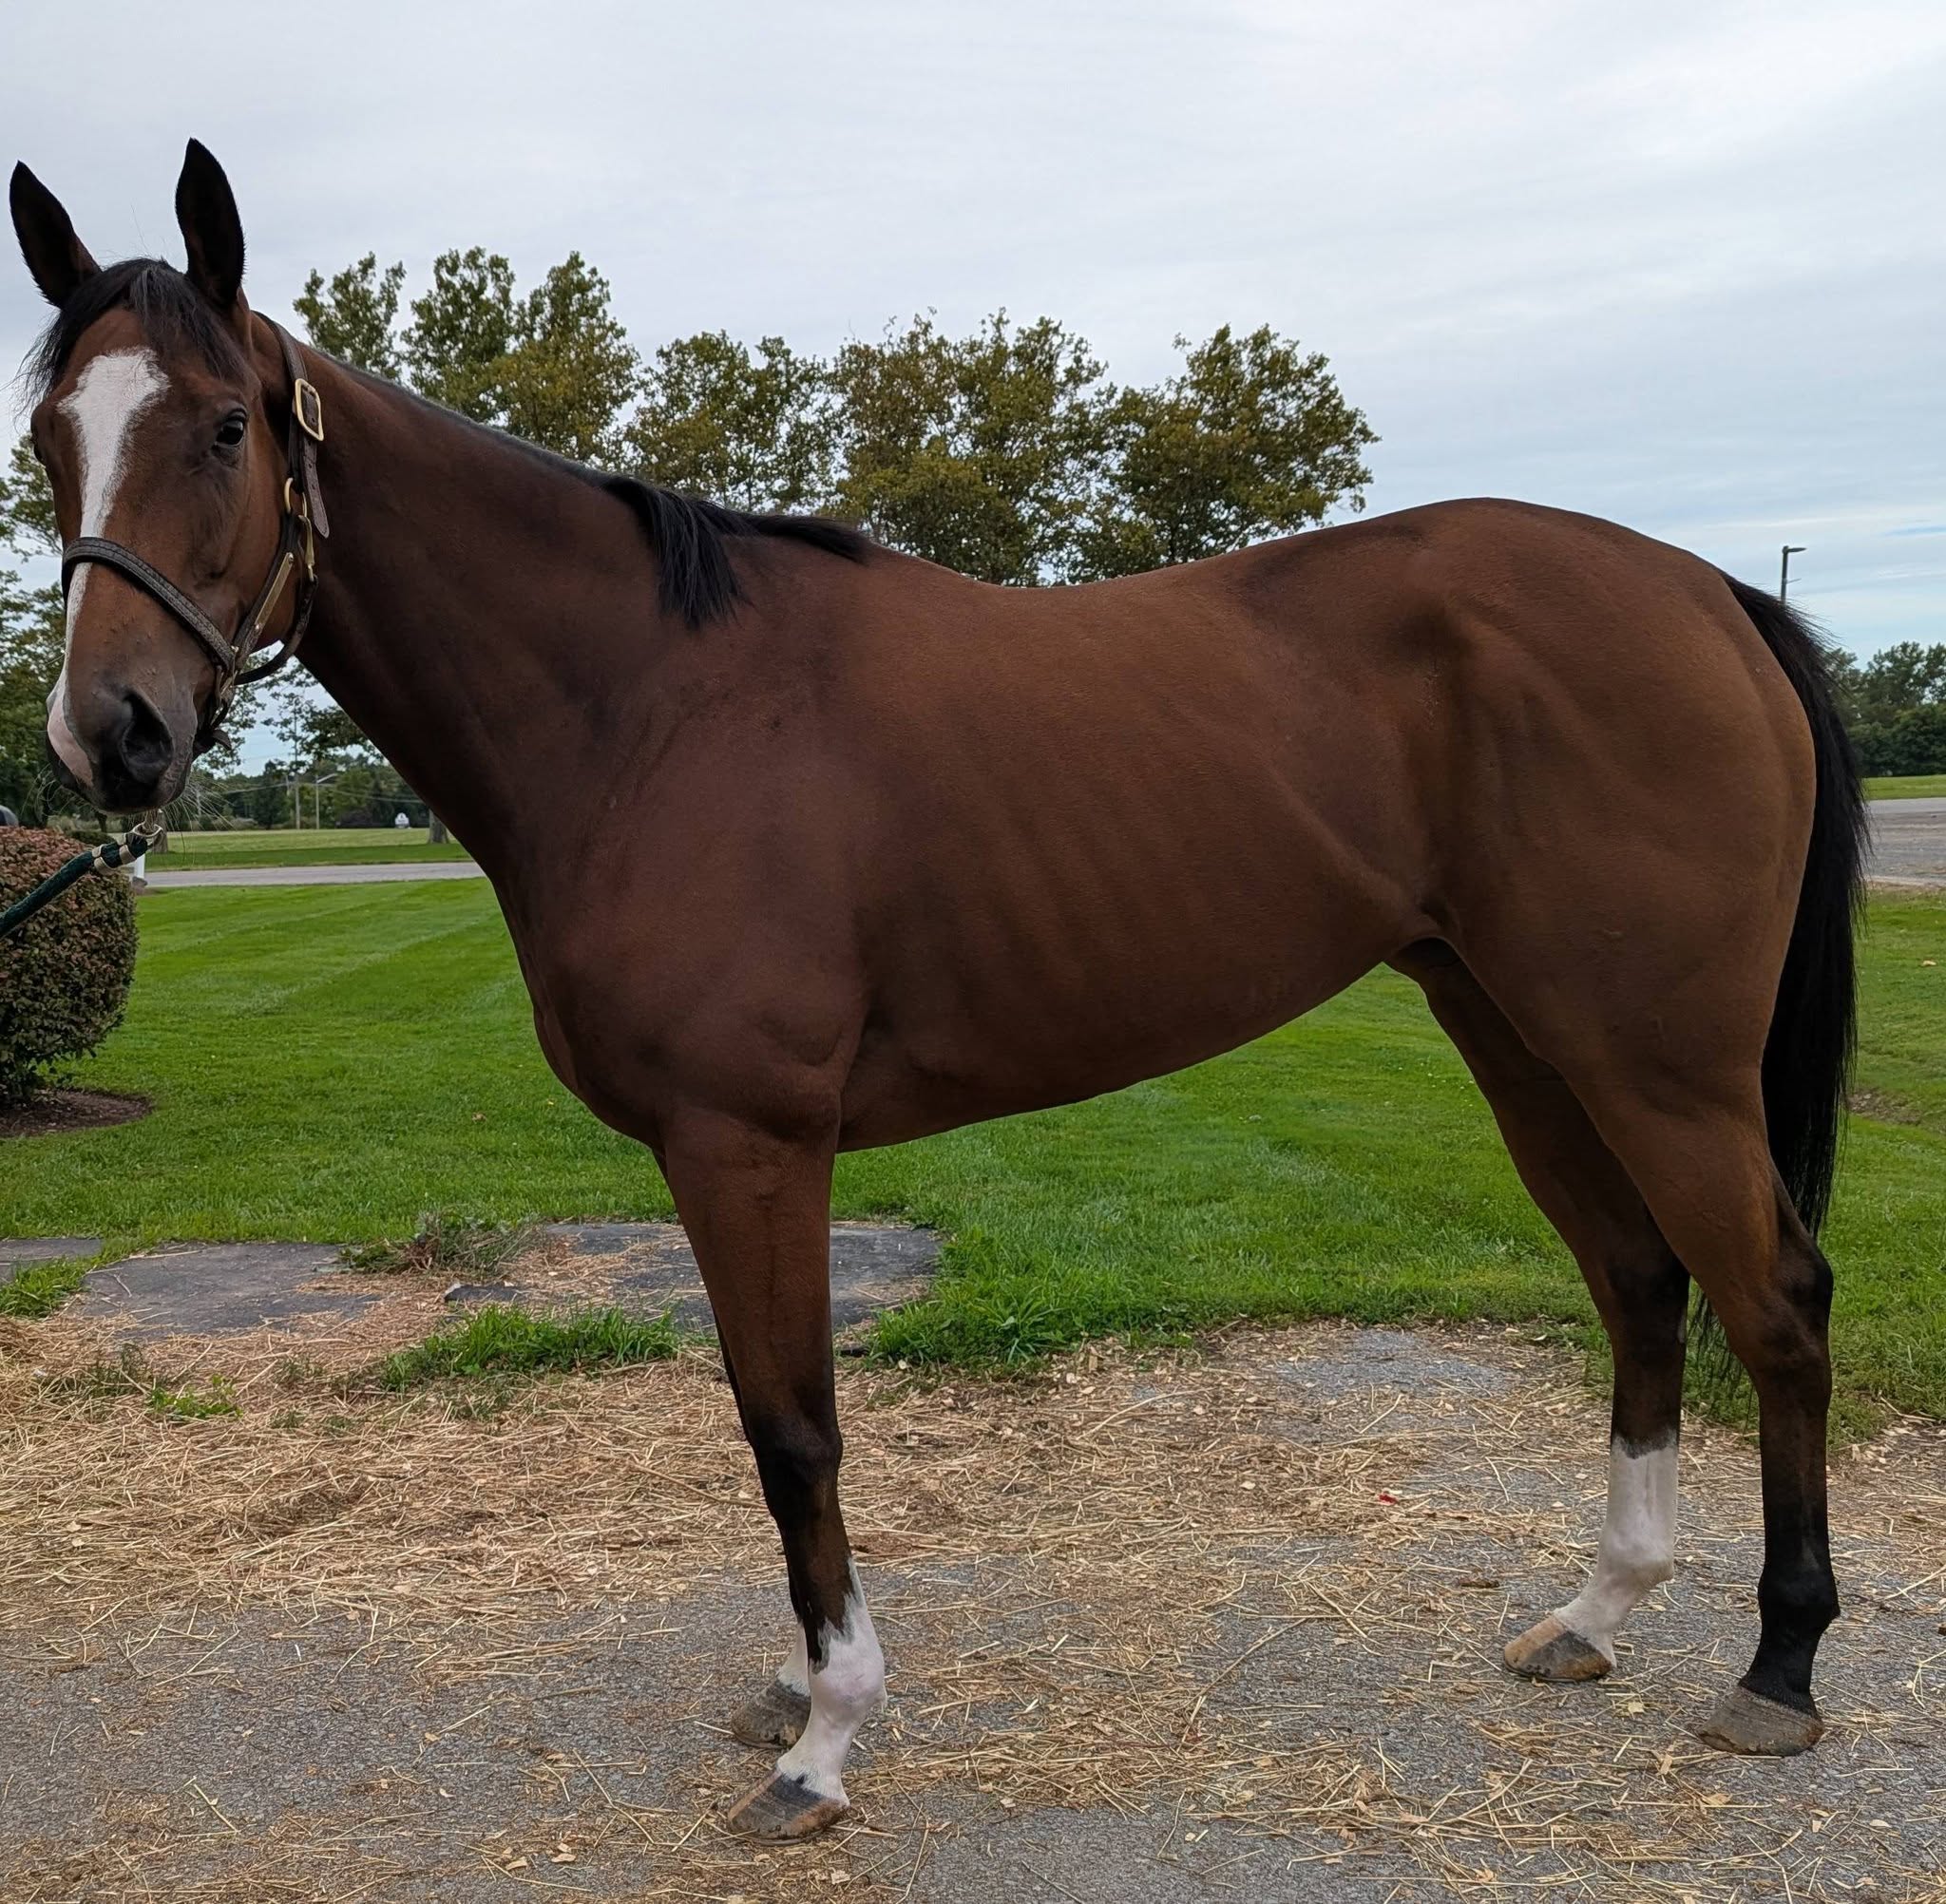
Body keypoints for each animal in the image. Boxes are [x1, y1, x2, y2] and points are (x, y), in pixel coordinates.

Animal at [9, 141, 1864, 1839]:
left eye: (225, 426)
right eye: (48, 442)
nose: (113, 736)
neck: (649, 707)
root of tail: (1706, 591)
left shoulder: (749, 1142)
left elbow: (792, 1426)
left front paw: (825, 1737)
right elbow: (769, 1418)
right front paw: (797, 1688)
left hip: (1658, 1057)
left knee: (1771, 1296)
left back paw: (1776, 1668)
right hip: (1521, 1033)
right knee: (1641, 1283)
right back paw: (1595, 1612)